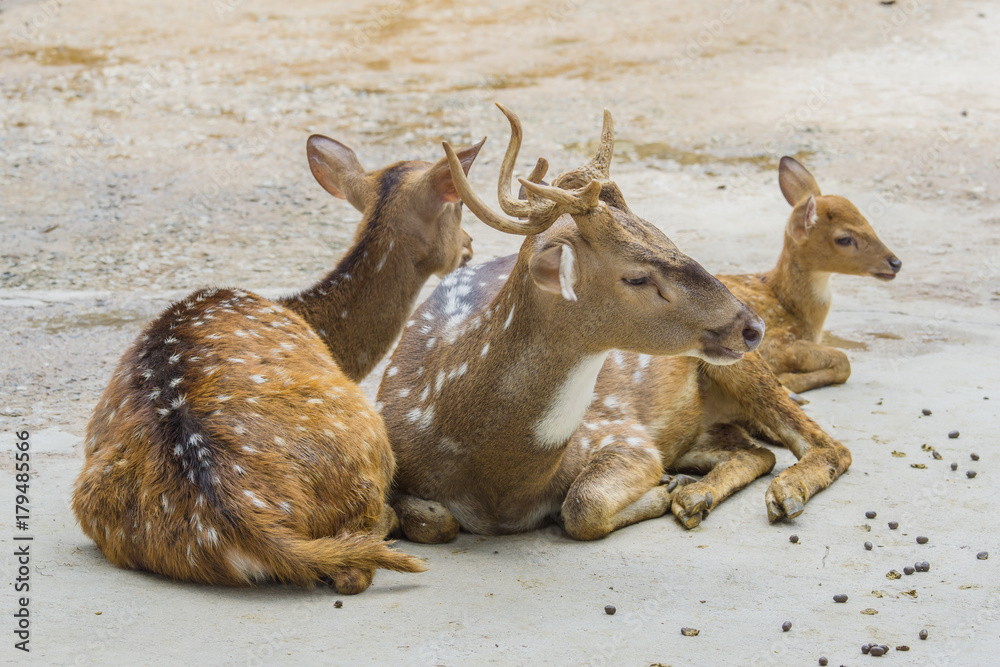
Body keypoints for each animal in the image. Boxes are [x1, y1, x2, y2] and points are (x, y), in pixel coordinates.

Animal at [71, 133, 484, 592]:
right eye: (458, 206)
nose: (469, 245)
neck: (314, 324)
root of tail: (241, 521)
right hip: (369, 436)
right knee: (354, 569)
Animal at [378, 104, 768, 544]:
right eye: (637, 277)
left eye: (665, 236)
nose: (752, 326)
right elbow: (432, 521)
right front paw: (671, 487)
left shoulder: (621, 433)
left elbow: (583, 504)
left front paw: (668, 486)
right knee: (756, 450)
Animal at [720, 157, 900, 394]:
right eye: (844, 239)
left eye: (867, 222)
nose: (896, 263)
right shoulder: (773, 341)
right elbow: (843, 360)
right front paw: (787, 382)